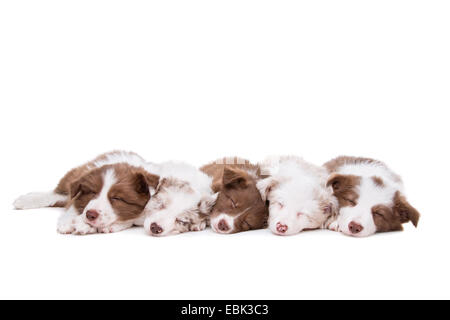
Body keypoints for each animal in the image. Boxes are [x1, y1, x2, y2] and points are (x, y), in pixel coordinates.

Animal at [14, 150, 160, 235]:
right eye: (92, 192)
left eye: (117, 198)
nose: (91, 215)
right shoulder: (77, 192)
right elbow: (73, 206)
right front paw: (71, 223)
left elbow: (135, 218)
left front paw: (110, 226)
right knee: (56, 194)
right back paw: (24, 200)